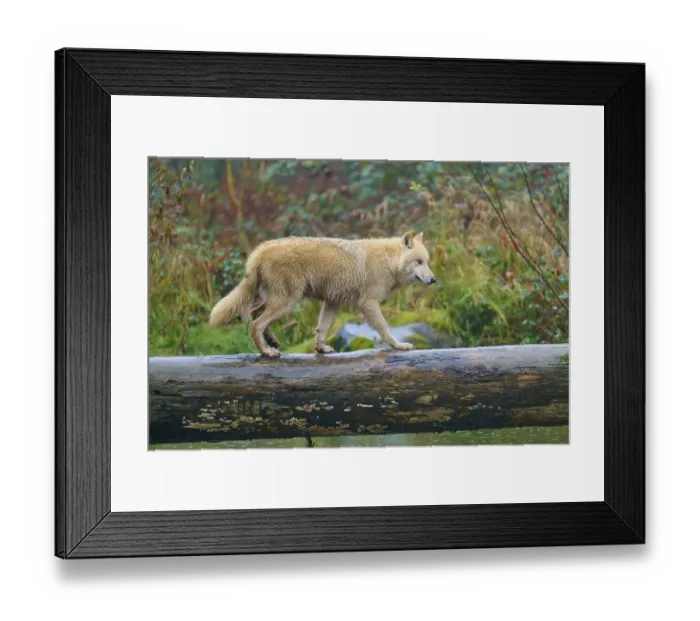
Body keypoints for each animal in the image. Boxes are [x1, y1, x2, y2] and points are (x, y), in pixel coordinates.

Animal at [209, 230, 437, 358]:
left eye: (427, 262)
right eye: (419, 262)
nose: (434, 280)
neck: (389, 261)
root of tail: (258, 252)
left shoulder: (332, 302)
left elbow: (322, 329)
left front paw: (321, 349)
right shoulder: (369, 304)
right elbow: (385, 329)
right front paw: (399, 346)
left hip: (273, 300)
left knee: (252, 315)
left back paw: (271, 342)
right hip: (287, 302)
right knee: (255, 324)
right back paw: (267, 352)